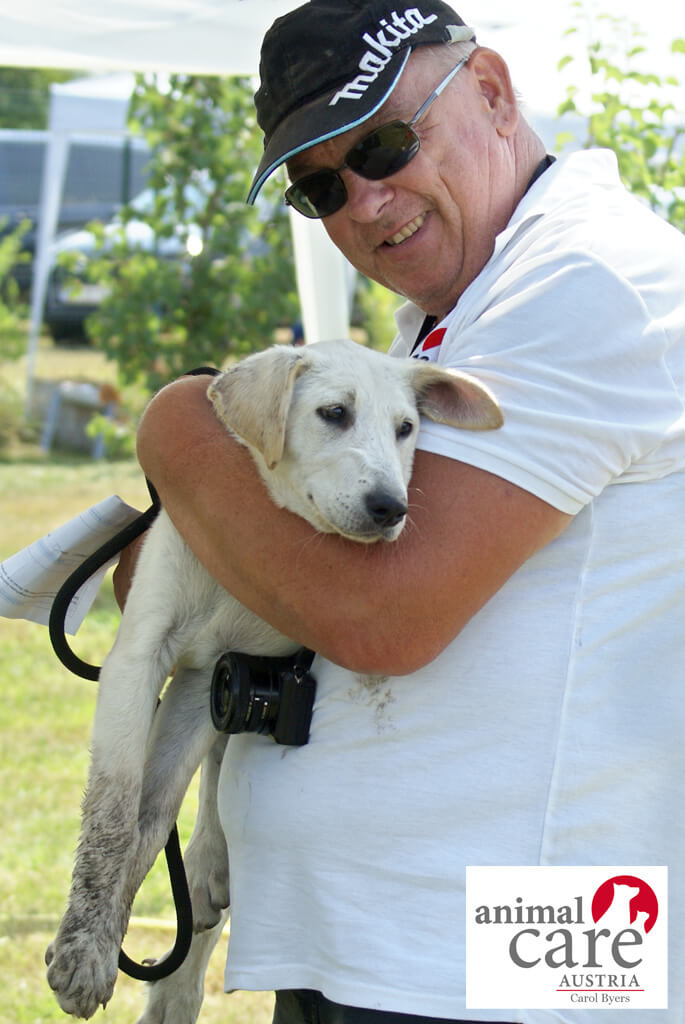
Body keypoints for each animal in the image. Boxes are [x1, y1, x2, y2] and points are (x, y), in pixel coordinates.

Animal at [45, 338, 502, 1021]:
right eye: (334, 413)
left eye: (406, 428)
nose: (391, 508)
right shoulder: (144, 659)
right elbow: (121, 811)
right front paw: (87, 945)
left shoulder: (209, 682)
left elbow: (157, 813)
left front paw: (112, 939)